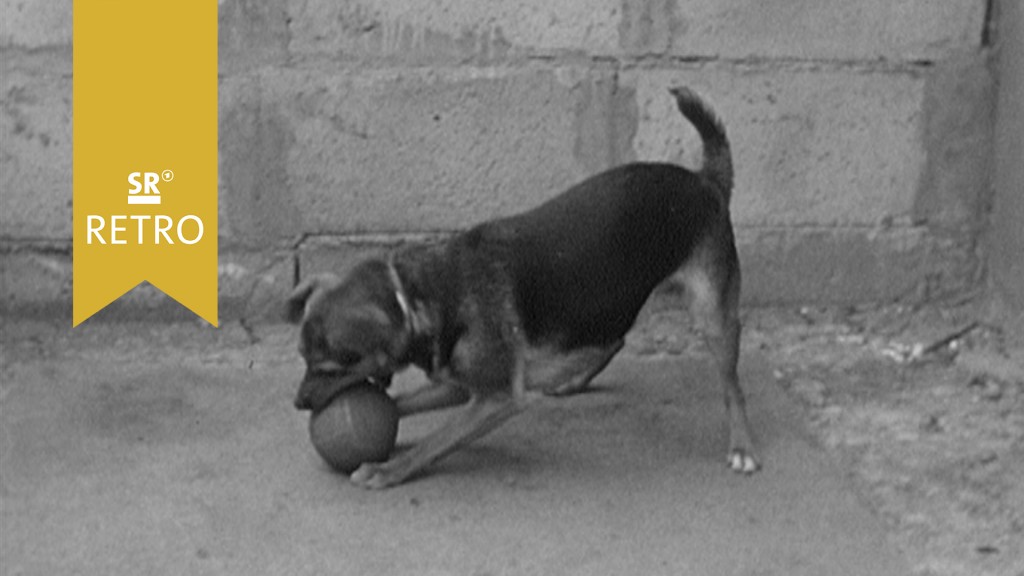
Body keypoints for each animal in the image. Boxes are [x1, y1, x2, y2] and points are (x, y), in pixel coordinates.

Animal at [288, 87, 761, 485]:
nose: (299, 403)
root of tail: (706, 179)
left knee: (732, 386)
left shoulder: (495, 398)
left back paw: (742, 444)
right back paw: (572, 378)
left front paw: (389, 469)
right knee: (614, 338)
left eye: (331, 368)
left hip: (711, 314)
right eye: (303, 358)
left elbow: (435, 443)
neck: (422, 295)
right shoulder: (461, 386)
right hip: (607, 296)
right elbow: (400, 405)